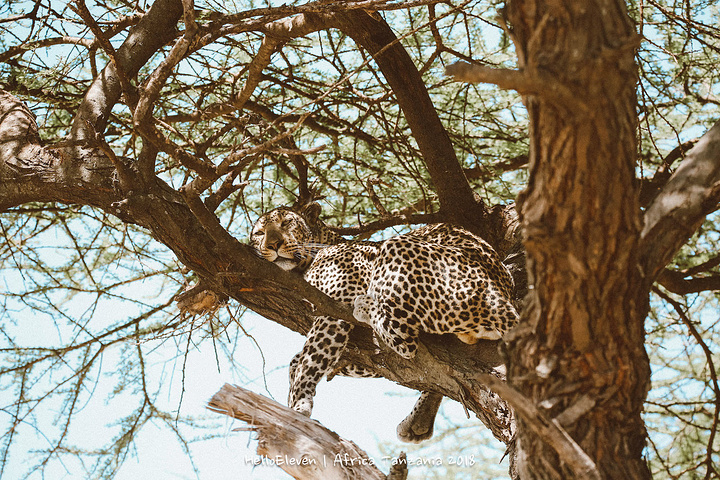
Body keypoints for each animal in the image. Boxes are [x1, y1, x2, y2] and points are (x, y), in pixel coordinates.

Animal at [249, 202, 516, 442]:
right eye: (259, 234)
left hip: (397, 248)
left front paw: (298, 405)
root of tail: (500, 295)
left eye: (286, 223)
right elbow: (301, 359)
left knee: (405, 341)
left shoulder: (334, 304)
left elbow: (311, 359)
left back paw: (365, 306)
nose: (272, 245)